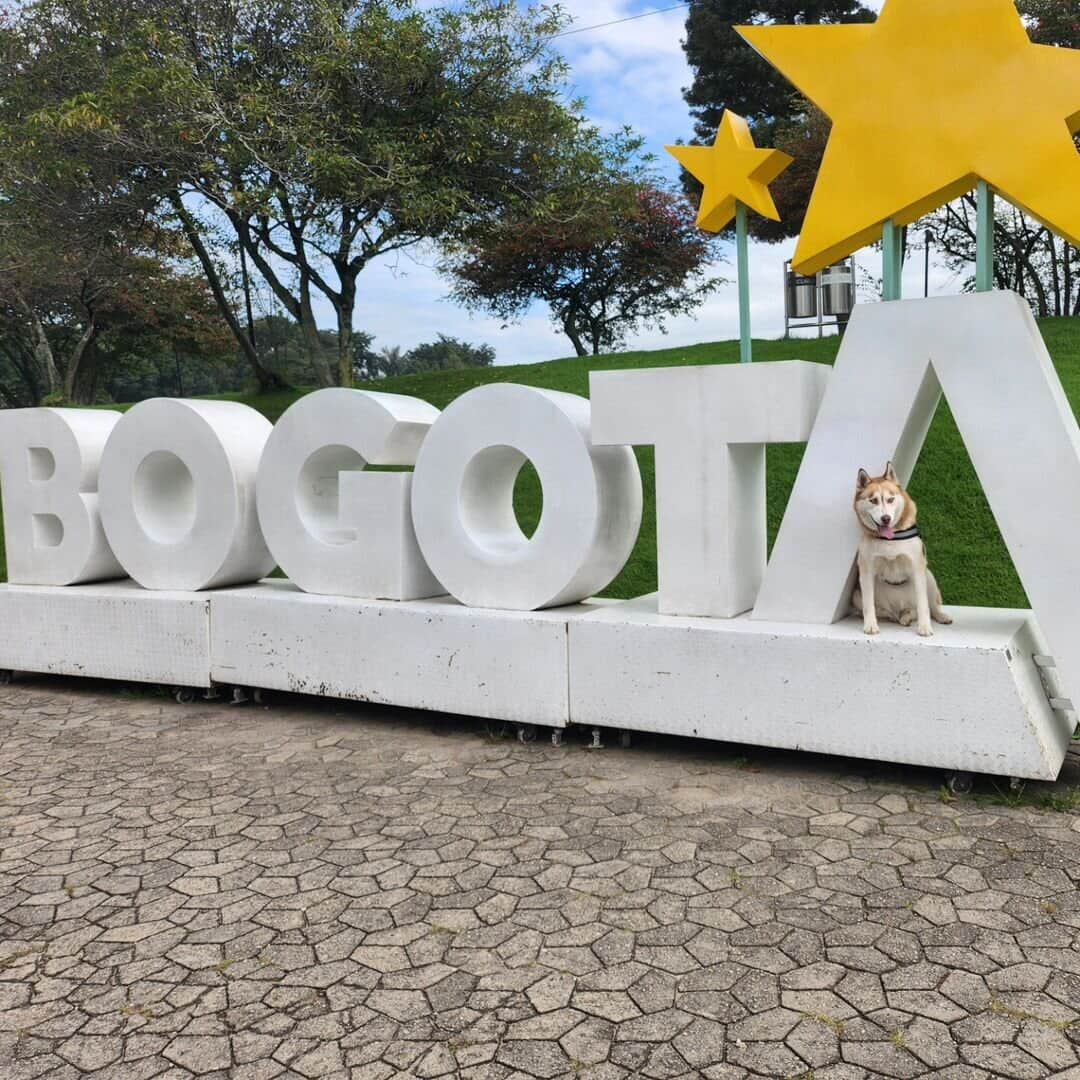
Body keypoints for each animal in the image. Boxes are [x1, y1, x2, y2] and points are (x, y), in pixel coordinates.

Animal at [855, 462, 950, 630]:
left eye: (890, 499)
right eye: (873, 500)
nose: (886, 518)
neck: (890, 539)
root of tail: (897, 610)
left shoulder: (917, 567)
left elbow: (923, 605)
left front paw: (925, 628)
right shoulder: (866, 570)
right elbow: (868, 604)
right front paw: (870, 625)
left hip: (929, 576)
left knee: (929, 607)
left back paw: (936, 616)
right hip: (856, 596)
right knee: (886, 611)